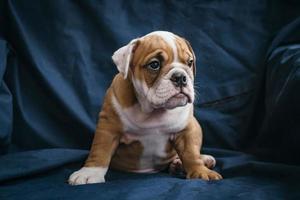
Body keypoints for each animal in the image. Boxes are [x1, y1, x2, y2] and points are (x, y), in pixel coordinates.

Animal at [68, 31, 223, 186]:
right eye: (154, 64)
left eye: (190, 62)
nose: (180, 77)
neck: (153, 110)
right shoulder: (108, 126)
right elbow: (100, 150)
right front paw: (89, 173)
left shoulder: (187, 128)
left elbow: (191, 152)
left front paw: (200, 171)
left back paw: (193, 161)